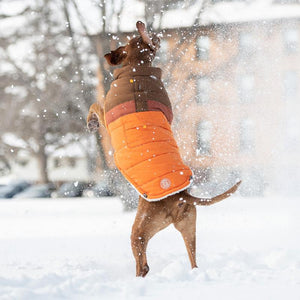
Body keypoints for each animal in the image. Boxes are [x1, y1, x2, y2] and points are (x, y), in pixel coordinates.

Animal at [87, 21, 241, 276]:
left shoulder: (108, 118)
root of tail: (181, 196)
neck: (137, 70)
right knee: (193, 260)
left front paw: (91, 122)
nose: (148, 30)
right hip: (188, 227)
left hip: (140, 228)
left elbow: (94, 105)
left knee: (143, 265)